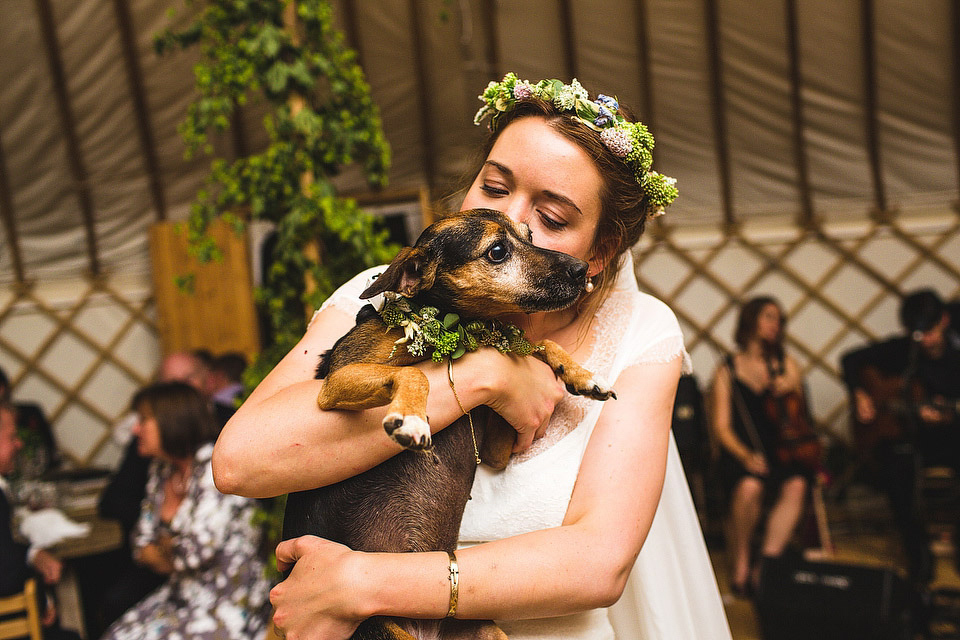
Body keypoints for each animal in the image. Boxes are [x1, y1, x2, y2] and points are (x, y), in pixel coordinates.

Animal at [282, 210, 616, 640]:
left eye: (530, 235)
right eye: (497, 251)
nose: (581, 269)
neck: (452, 329)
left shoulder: (496, 449)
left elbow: (534, 346)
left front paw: (580, 374)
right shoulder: (334, 386)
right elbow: (416, 375)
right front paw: (410, 418)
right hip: (379, 631)